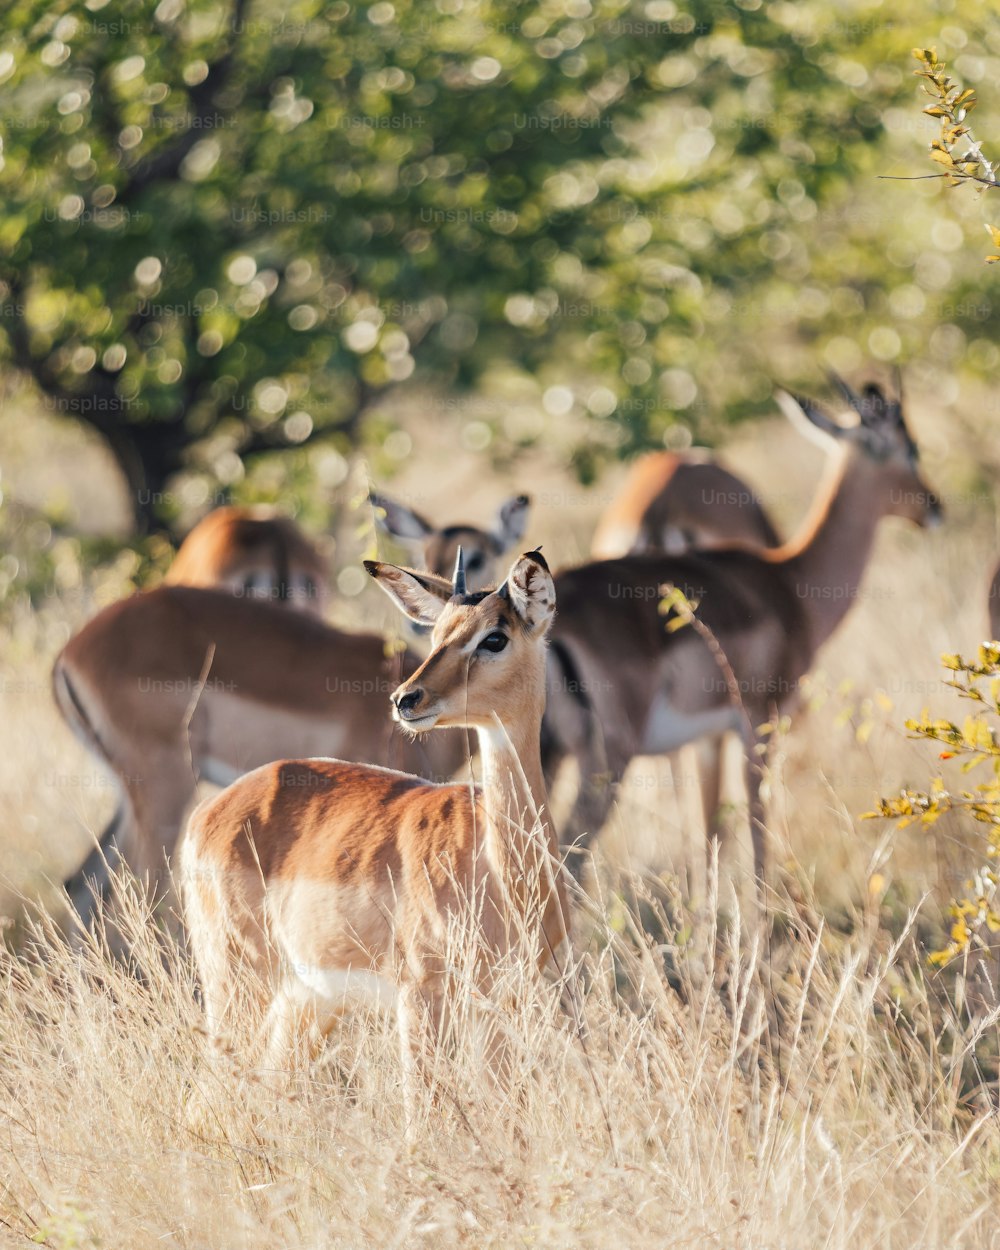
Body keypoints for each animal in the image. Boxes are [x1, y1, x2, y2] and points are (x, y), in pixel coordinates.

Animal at [180, 547, 567, 1115]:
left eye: (494, 637)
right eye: (437, 633)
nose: (407, 698)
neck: (503, 873)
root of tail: (208, 812)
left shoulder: (502, 1005)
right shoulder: (420, 998)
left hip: (307, 999)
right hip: (239, 981)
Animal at [542, 375, 940, 885]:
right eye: (910, 448)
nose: (934, 507)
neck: (791, 582)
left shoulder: (708, 740)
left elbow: (710, 832)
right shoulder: (759, 725)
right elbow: (756, 827)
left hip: (546, 754)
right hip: (607, 760)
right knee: (569, 855)